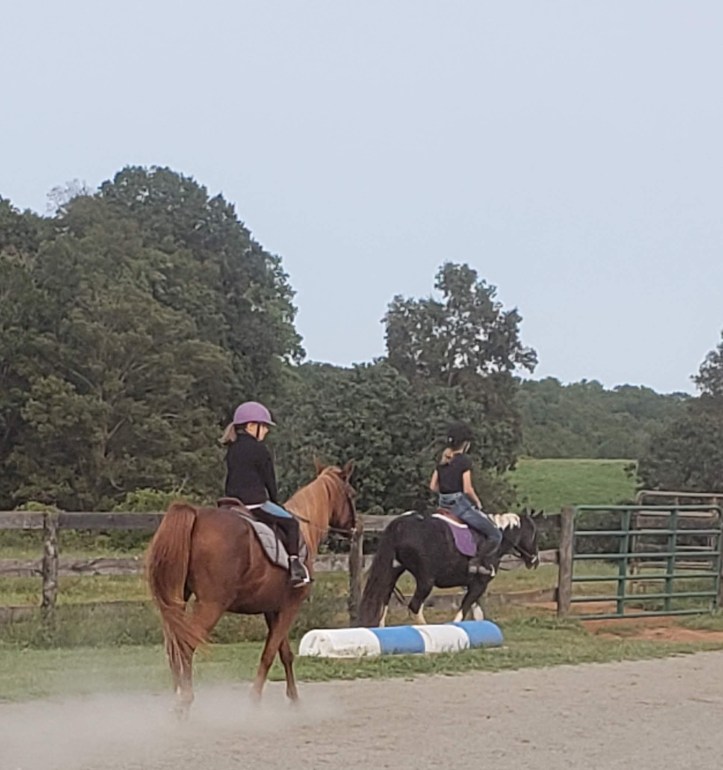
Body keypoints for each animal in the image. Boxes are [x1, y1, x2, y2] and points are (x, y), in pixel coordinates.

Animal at [146, 462, 356, 715]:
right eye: (352, 494)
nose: (355, 528)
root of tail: (196, 515)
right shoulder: (290, 606)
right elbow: (269, 654)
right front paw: (254, 700)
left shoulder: (272, 609)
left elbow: (284, 653)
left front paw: (295, 700)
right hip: (211, 604)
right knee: (186, 645)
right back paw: (184, 702)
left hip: (176, 600)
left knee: (174, 647)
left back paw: (176, 698)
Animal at [358, 509, 541, 627]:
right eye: (533, 533)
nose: (534, 560)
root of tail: (400, 525)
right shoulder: (479, 584)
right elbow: (463, 610)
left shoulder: (471, 584)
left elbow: (476, 612)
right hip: (425, 581)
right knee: (414, 607)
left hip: (392, 571)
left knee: (383, 601)